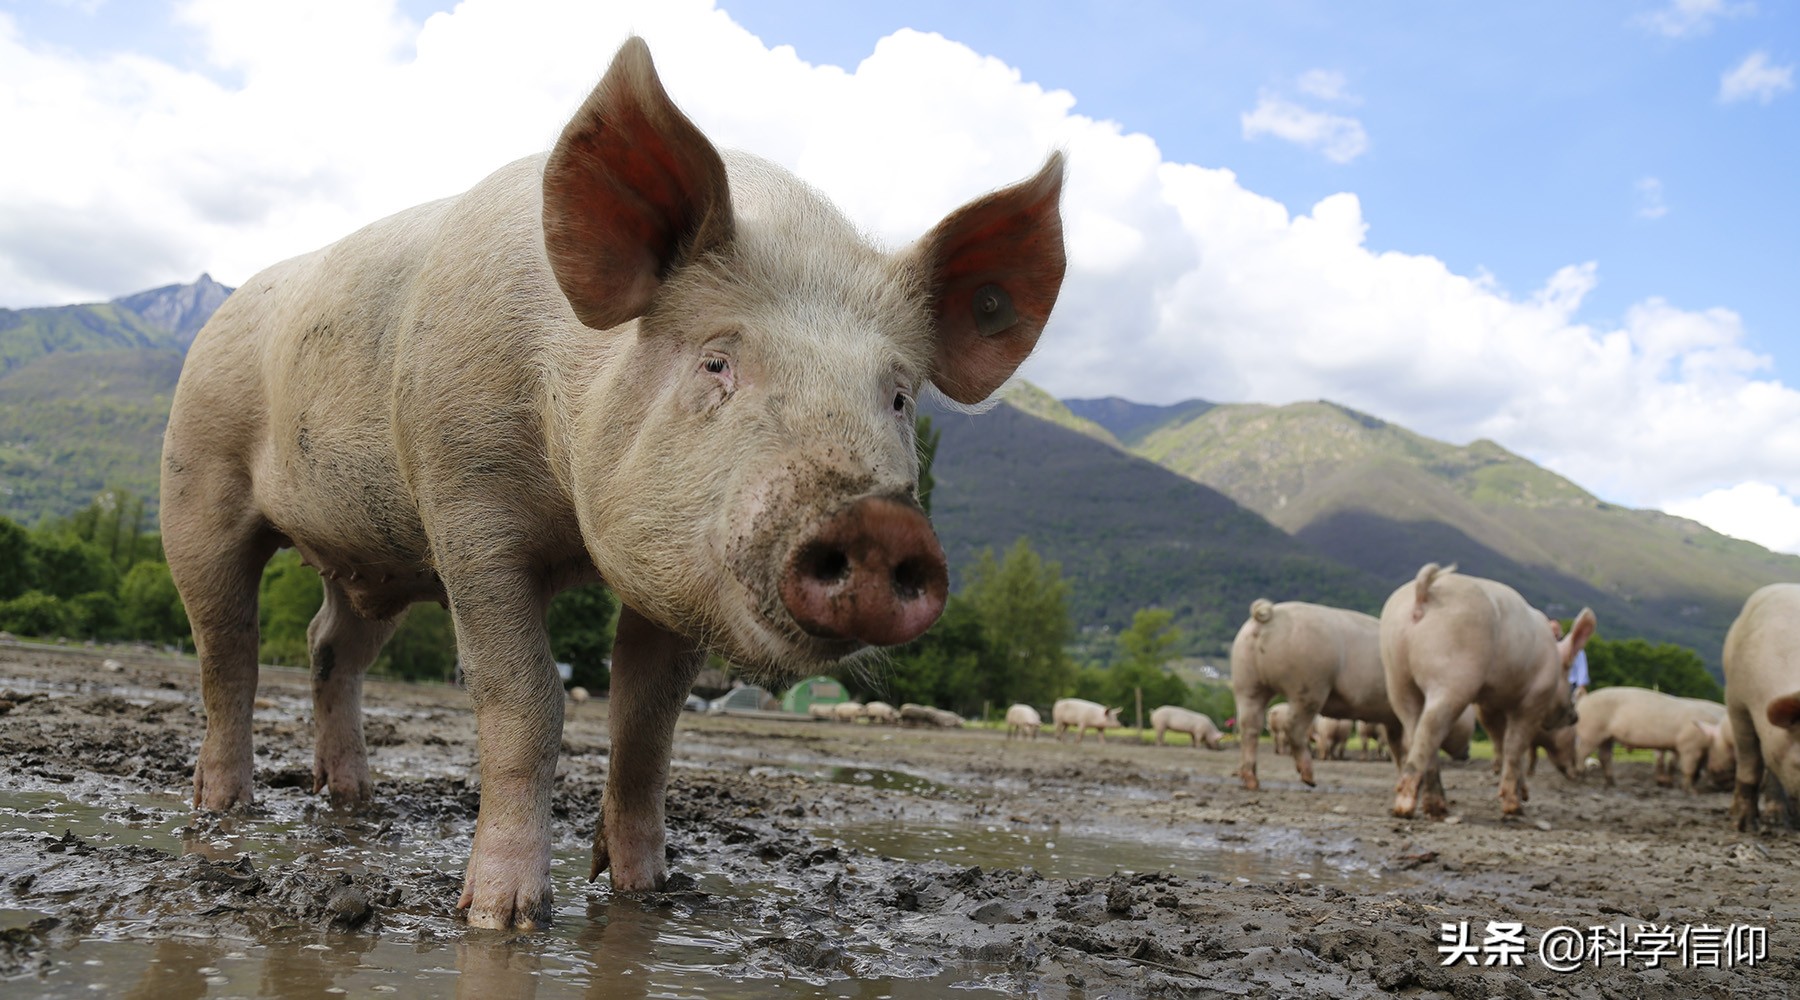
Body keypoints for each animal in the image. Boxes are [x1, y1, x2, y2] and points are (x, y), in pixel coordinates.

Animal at [158, 39, 1065, 928]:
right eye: (716, 361)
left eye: (899, 396)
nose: (880, 524)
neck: (572, 528)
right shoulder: (466, 504)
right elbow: (526, 700)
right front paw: (505, 916)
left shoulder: (678, 571)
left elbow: (647, 725)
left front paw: (646, 894)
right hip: (197, 476)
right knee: (228, 648)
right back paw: (225, 808)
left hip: (372, 557)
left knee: (328, 647)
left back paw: (353, 798)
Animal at [1224, 597, 1404, 791]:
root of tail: (1269, 615)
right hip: (1308, 684)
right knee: (1293, 728)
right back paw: (1309, 778)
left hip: (1246, 680)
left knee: (1249, 726)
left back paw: (1252, 781)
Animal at [1382, 561, 1598, 820]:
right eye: (1572, 684)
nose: (1575, 716)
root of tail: (1423, 593)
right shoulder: (1534, 698)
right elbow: (1515, 746)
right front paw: (1514, 808)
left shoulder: (1489, 704)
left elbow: (1503, 742)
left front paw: (1524, 796)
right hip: (1452, 674)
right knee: (1430, 730)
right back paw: (1405, 808)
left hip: (1396, 675)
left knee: (1415, 727)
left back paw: (1438, 808)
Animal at [1576, 683, 1728, 791]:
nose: (1722, 787)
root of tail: (1584, 700)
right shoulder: (1689, 745)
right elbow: (1687, 767)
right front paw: (1690, 790)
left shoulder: (1680, 747)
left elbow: (1674, 764)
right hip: (1591, 732)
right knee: (1582, 753)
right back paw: (1581, 779)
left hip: (1607, 737)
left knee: (1604, 756)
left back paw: (1612, 784)